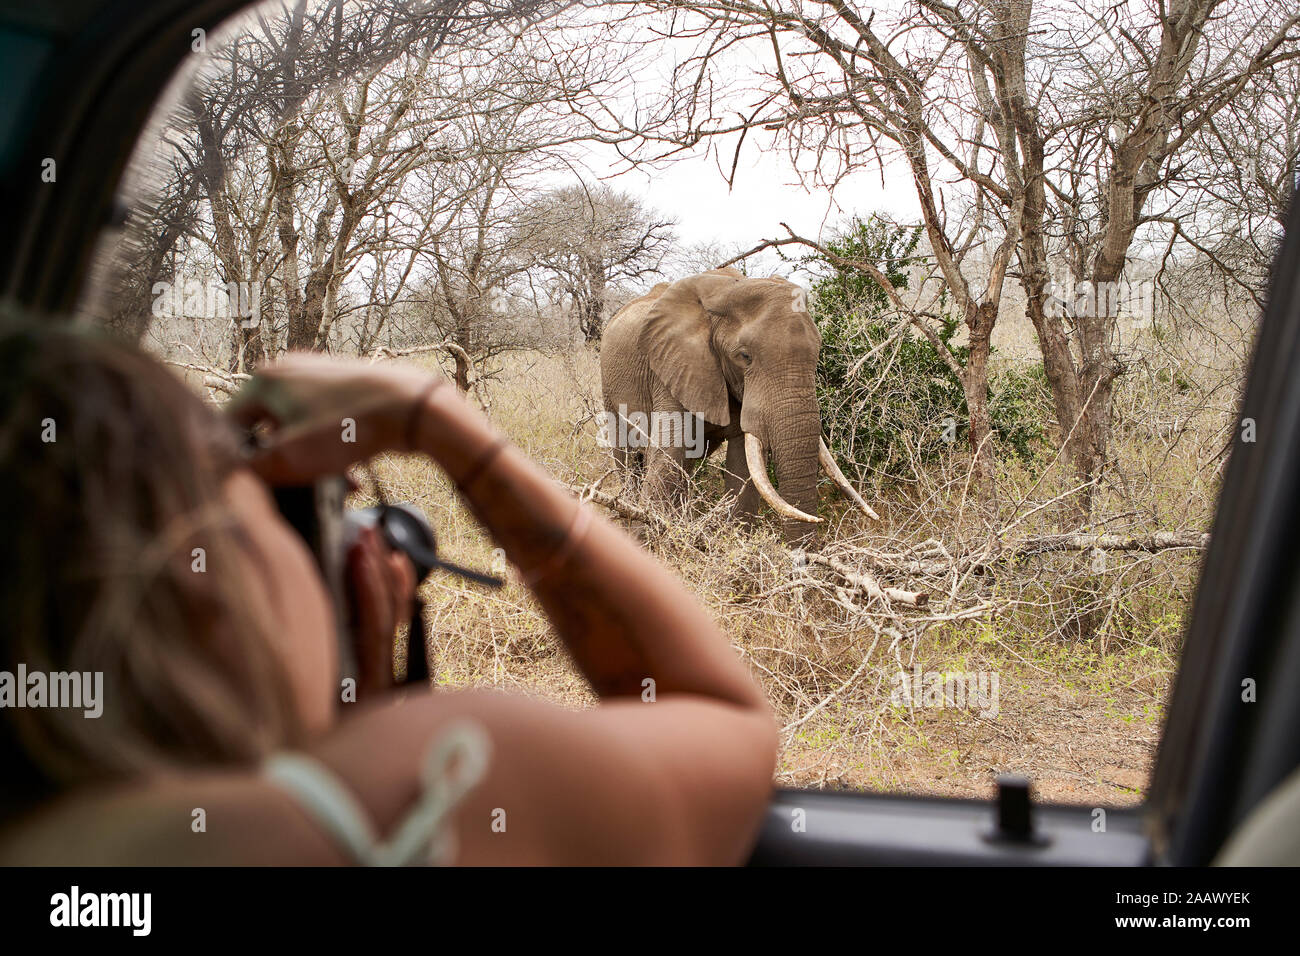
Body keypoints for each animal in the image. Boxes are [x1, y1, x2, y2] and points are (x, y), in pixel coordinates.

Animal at [598, 265, 873, 541]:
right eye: (744, 356)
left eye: (818, 351)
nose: (820, 521)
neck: (727, 290)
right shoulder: (671, 366)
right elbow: (668, 456)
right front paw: (644, 537)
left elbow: (743, 468)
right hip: (609, 389)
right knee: (627, 457)